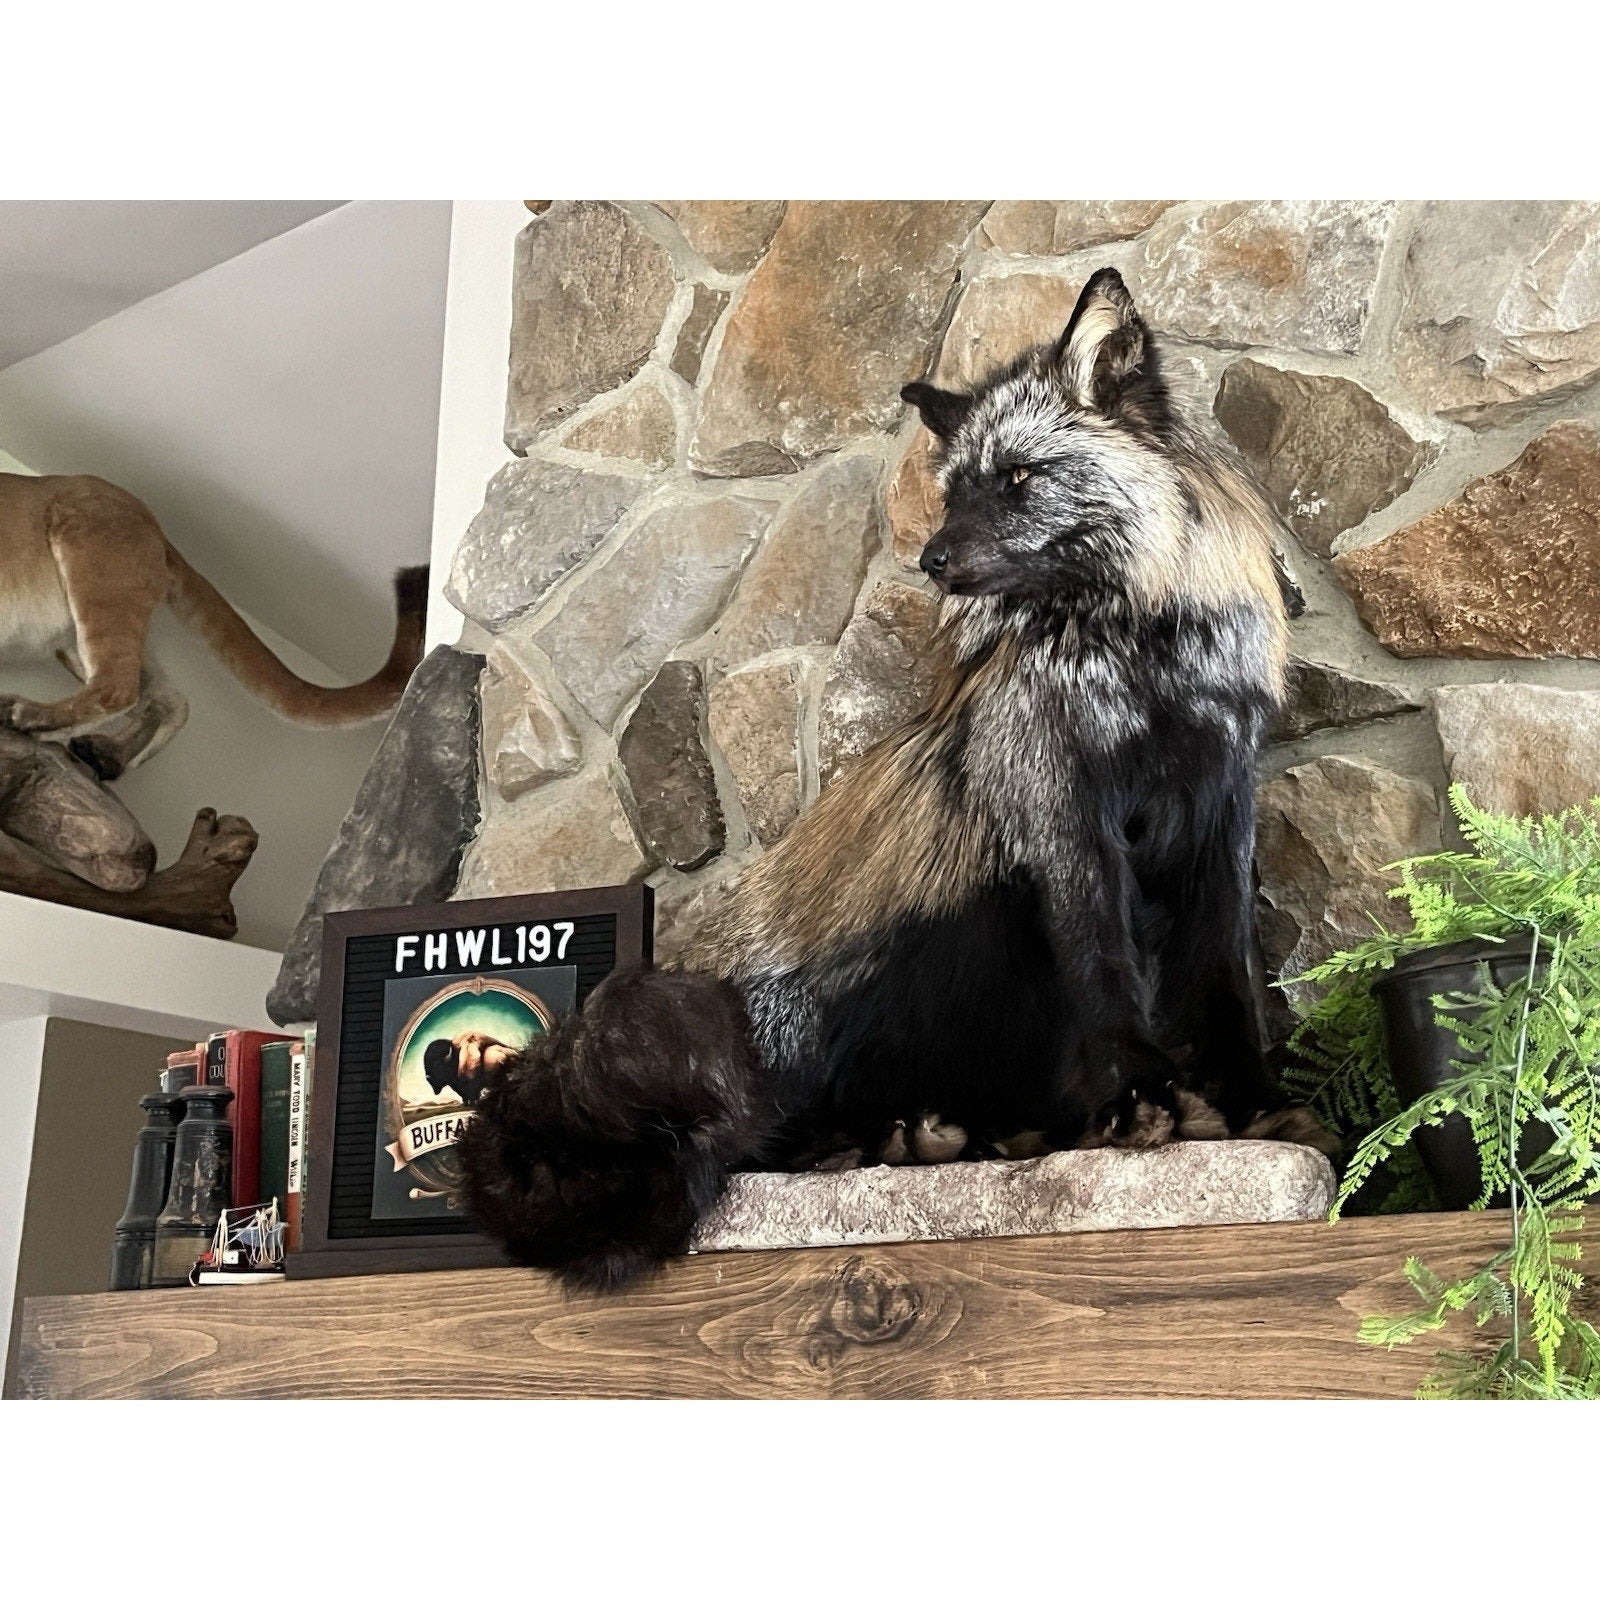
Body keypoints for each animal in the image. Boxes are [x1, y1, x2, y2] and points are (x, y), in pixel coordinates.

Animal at [457, 267, 1326, 1289]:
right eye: (954, 491)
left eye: (1019, 477)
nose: (932, 560)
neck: (1145, 663)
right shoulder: (1061, 810)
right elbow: (1105, 967)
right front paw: (1136, 1098)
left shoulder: (1220, 804)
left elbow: (1226, 976)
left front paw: (1253, 1105)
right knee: (752, 1143)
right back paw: (885, 1141)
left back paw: (973, 1135)